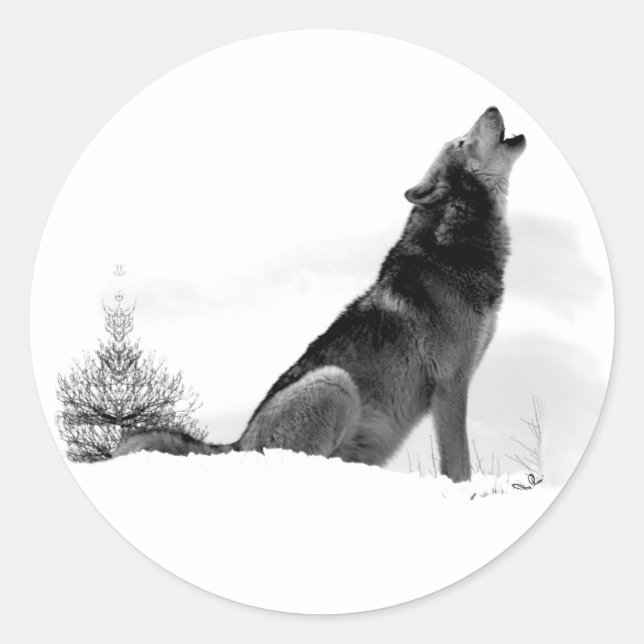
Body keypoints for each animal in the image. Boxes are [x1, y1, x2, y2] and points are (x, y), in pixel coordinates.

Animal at [113, 107, 526, 482]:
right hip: (334, 382)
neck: (453, 246)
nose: (491, 107)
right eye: (461, 142)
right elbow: (459, 466)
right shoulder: (451, 384)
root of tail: (237, 444)